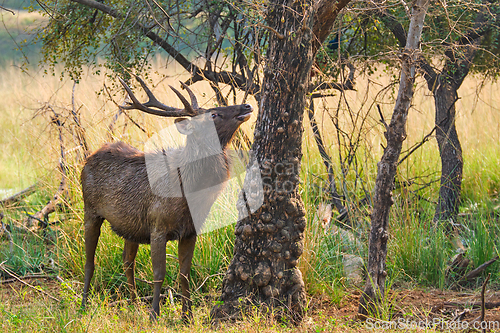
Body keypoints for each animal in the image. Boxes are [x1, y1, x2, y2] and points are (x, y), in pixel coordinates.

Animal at [82, 76, 254, 320]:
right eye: (213, 114)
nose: (247, 106)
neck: (189, 190)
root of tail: (89, 158)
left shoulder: (190, 230)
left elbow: (184, 273)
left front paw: (187, 316)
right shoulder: (158, 225)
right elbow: (159, 272)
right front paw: (155, 314)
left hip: (130, 226)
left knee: (127, 261)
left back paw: (134, 304)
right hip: (90, 209)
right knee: (90, 261)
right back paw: (84, 304)